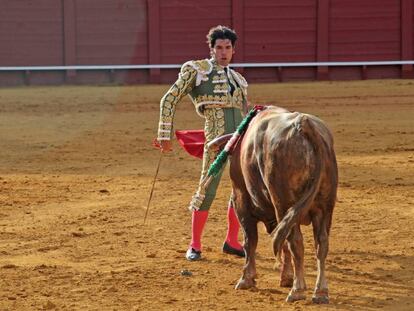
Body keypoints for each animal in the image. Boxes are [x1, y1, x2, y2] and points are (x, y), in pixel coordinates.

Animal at [213, 106, 336, 304]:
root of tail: (304, 125)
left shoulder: (241, 201)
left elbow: (250, 241)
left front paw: (246, 278)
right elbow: (281, 242)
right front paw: (286, 277)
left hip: (285, 204)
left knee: (296, 242)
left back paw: (297, 290)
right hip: (325, 208)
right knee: (321, 244)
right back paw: (320, 292)